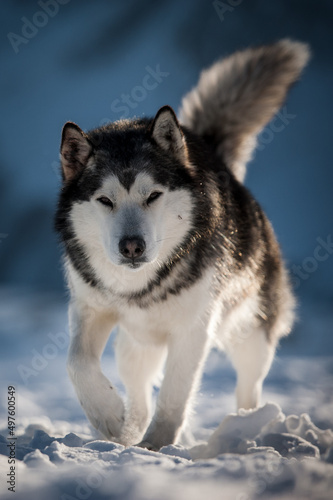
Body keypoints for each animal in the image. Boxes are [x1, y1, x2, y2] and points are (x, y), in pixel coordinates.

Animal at [55, 41, 308, 452]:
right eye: (105, 201)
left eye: (153, 195)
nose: (131, 247)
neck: (140, 287)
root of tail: (207, 148)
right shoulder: (90, 308)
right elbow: (77, 363)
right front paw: (108, 416)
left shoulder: (194, 329)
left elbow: (176, 395)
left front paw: (158, 446)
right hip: (135, 346)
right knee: (139, 391)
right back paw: (128, 430)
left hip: (250, 335)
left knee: (248, 389)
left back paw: (245, 429)